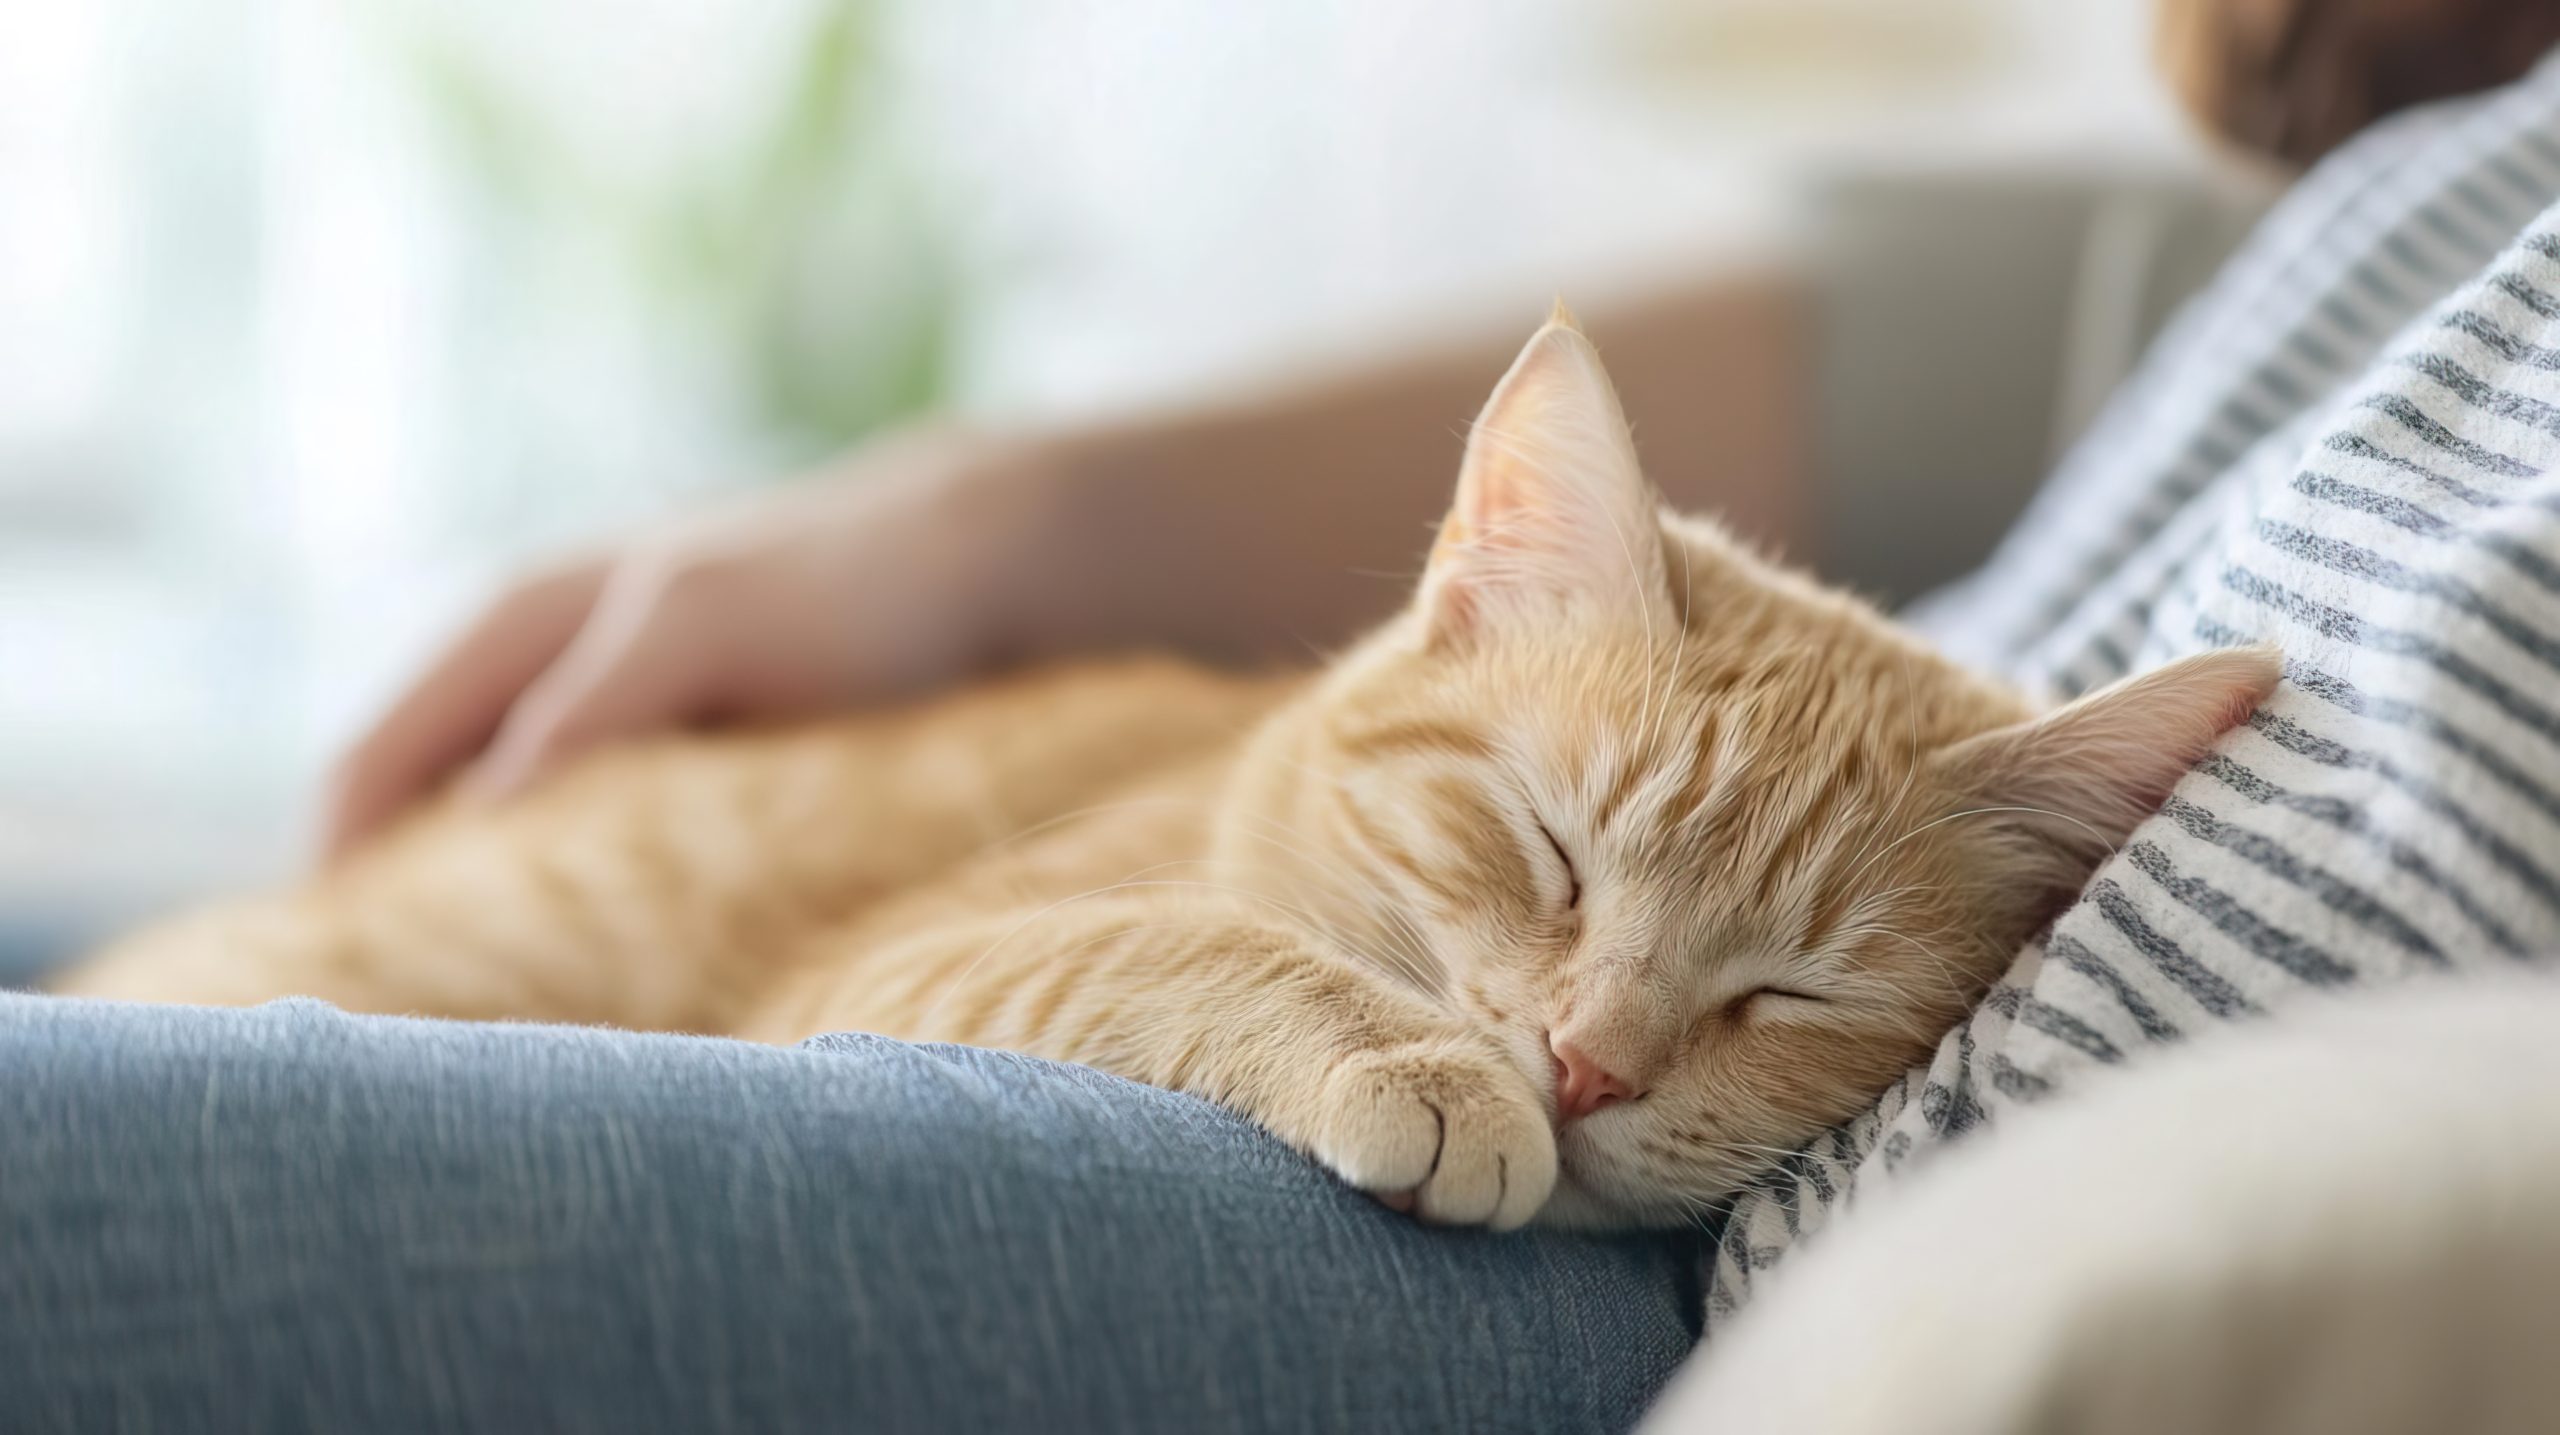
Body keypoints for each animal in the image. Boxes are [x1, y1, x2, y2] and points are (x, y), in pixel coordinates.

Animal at [55, 313, 2283, 1232]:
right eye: (1549, 854)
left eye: (1786, 994)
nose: (1579, 1070)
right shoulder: (909, 960)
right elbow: (1176, 948)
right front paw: (1409, 1057)